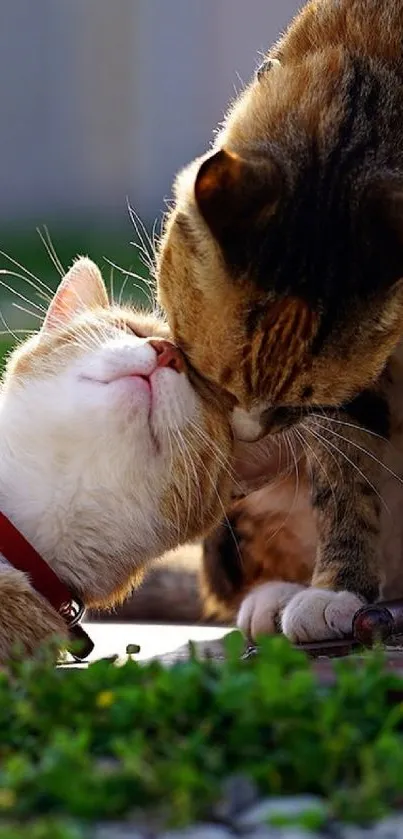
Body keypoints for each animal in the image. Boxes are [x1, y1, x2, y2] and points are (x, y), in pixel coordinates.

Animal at [158, 0, 403, 644]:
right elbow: (344, 478)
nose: (247, 433)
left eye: (300, 398)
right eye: (211, 376)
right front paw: (338, 587)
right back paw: (280, 598)